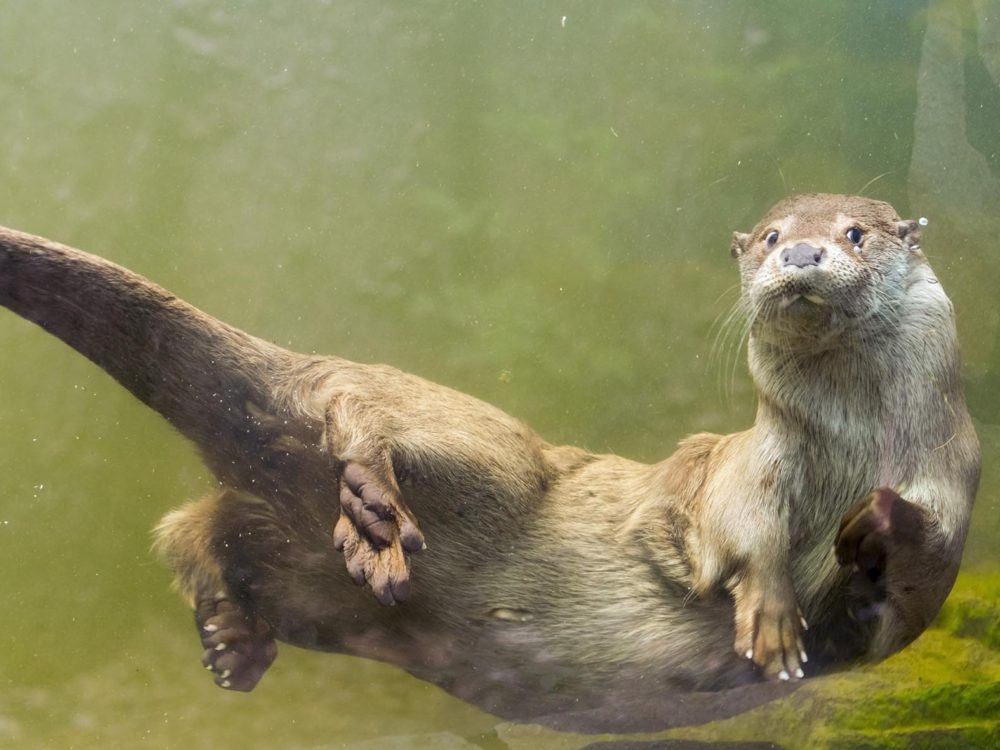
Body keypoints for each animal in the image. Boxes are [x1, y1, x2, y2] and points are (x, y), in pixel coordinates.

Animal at [0, 194, 979, 728]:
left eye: (855, 233)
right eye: (774, 236)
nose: (804, 252)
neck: (846, 451)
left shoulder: (954, 475)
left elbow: (914, 590)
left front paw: (878, 527)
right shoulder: (743, 470)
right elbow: (736, 534)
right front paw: (772, 615)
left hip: (308, 563)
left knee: (202, 525)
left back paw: (234, 639)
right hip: (492, 454)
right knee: (344, 410)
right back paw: (369, 512)